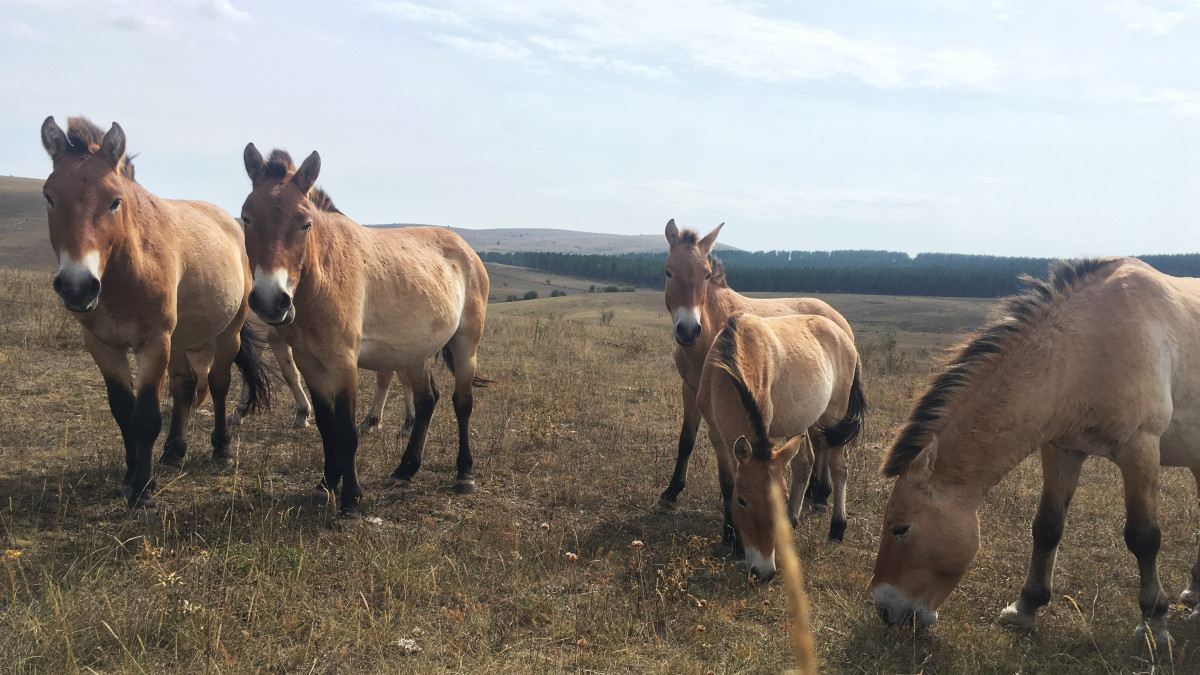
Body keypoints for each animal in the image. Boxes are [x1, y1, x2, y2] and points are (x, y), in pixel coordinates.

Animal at [41, 115, 270, 509]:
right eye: (50, 197)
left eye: (115, 201)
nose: (77, 286)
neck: (125, 273)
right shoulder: (103, 346)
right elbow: (123, 411)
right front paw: (131, 475)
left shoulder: (152, 343)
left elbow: (146, 416)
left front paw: (143, 491)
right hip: (178, 339)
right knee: (186, 385)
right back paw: (174, 451)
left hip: (227, 332)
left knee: (218, 383)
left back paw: (221, 450)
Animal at [652, 220, 859, 521]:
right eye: (668, 271)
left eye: (706, 275)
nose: (688, 330)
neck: (711, 332)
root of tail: (839, 322)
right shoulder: (690, 390)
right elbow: (686, 440)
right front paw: (672, 491)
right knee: (819, 441)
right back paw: (815, 491)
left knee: (825, 443)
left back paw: (821, 494)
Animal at [700, 309, 868, 578]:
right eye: (742, 501)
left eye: (783, 499)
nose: (764, 572)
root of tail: (844, 336)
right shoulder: (716, 435)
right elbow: (726, 483)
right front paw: (730, 534)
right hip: (803, 423)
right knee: (804, 465)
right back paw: (793, 523)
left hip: (834, 418)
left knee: (839, 467)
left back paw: (837, 529)